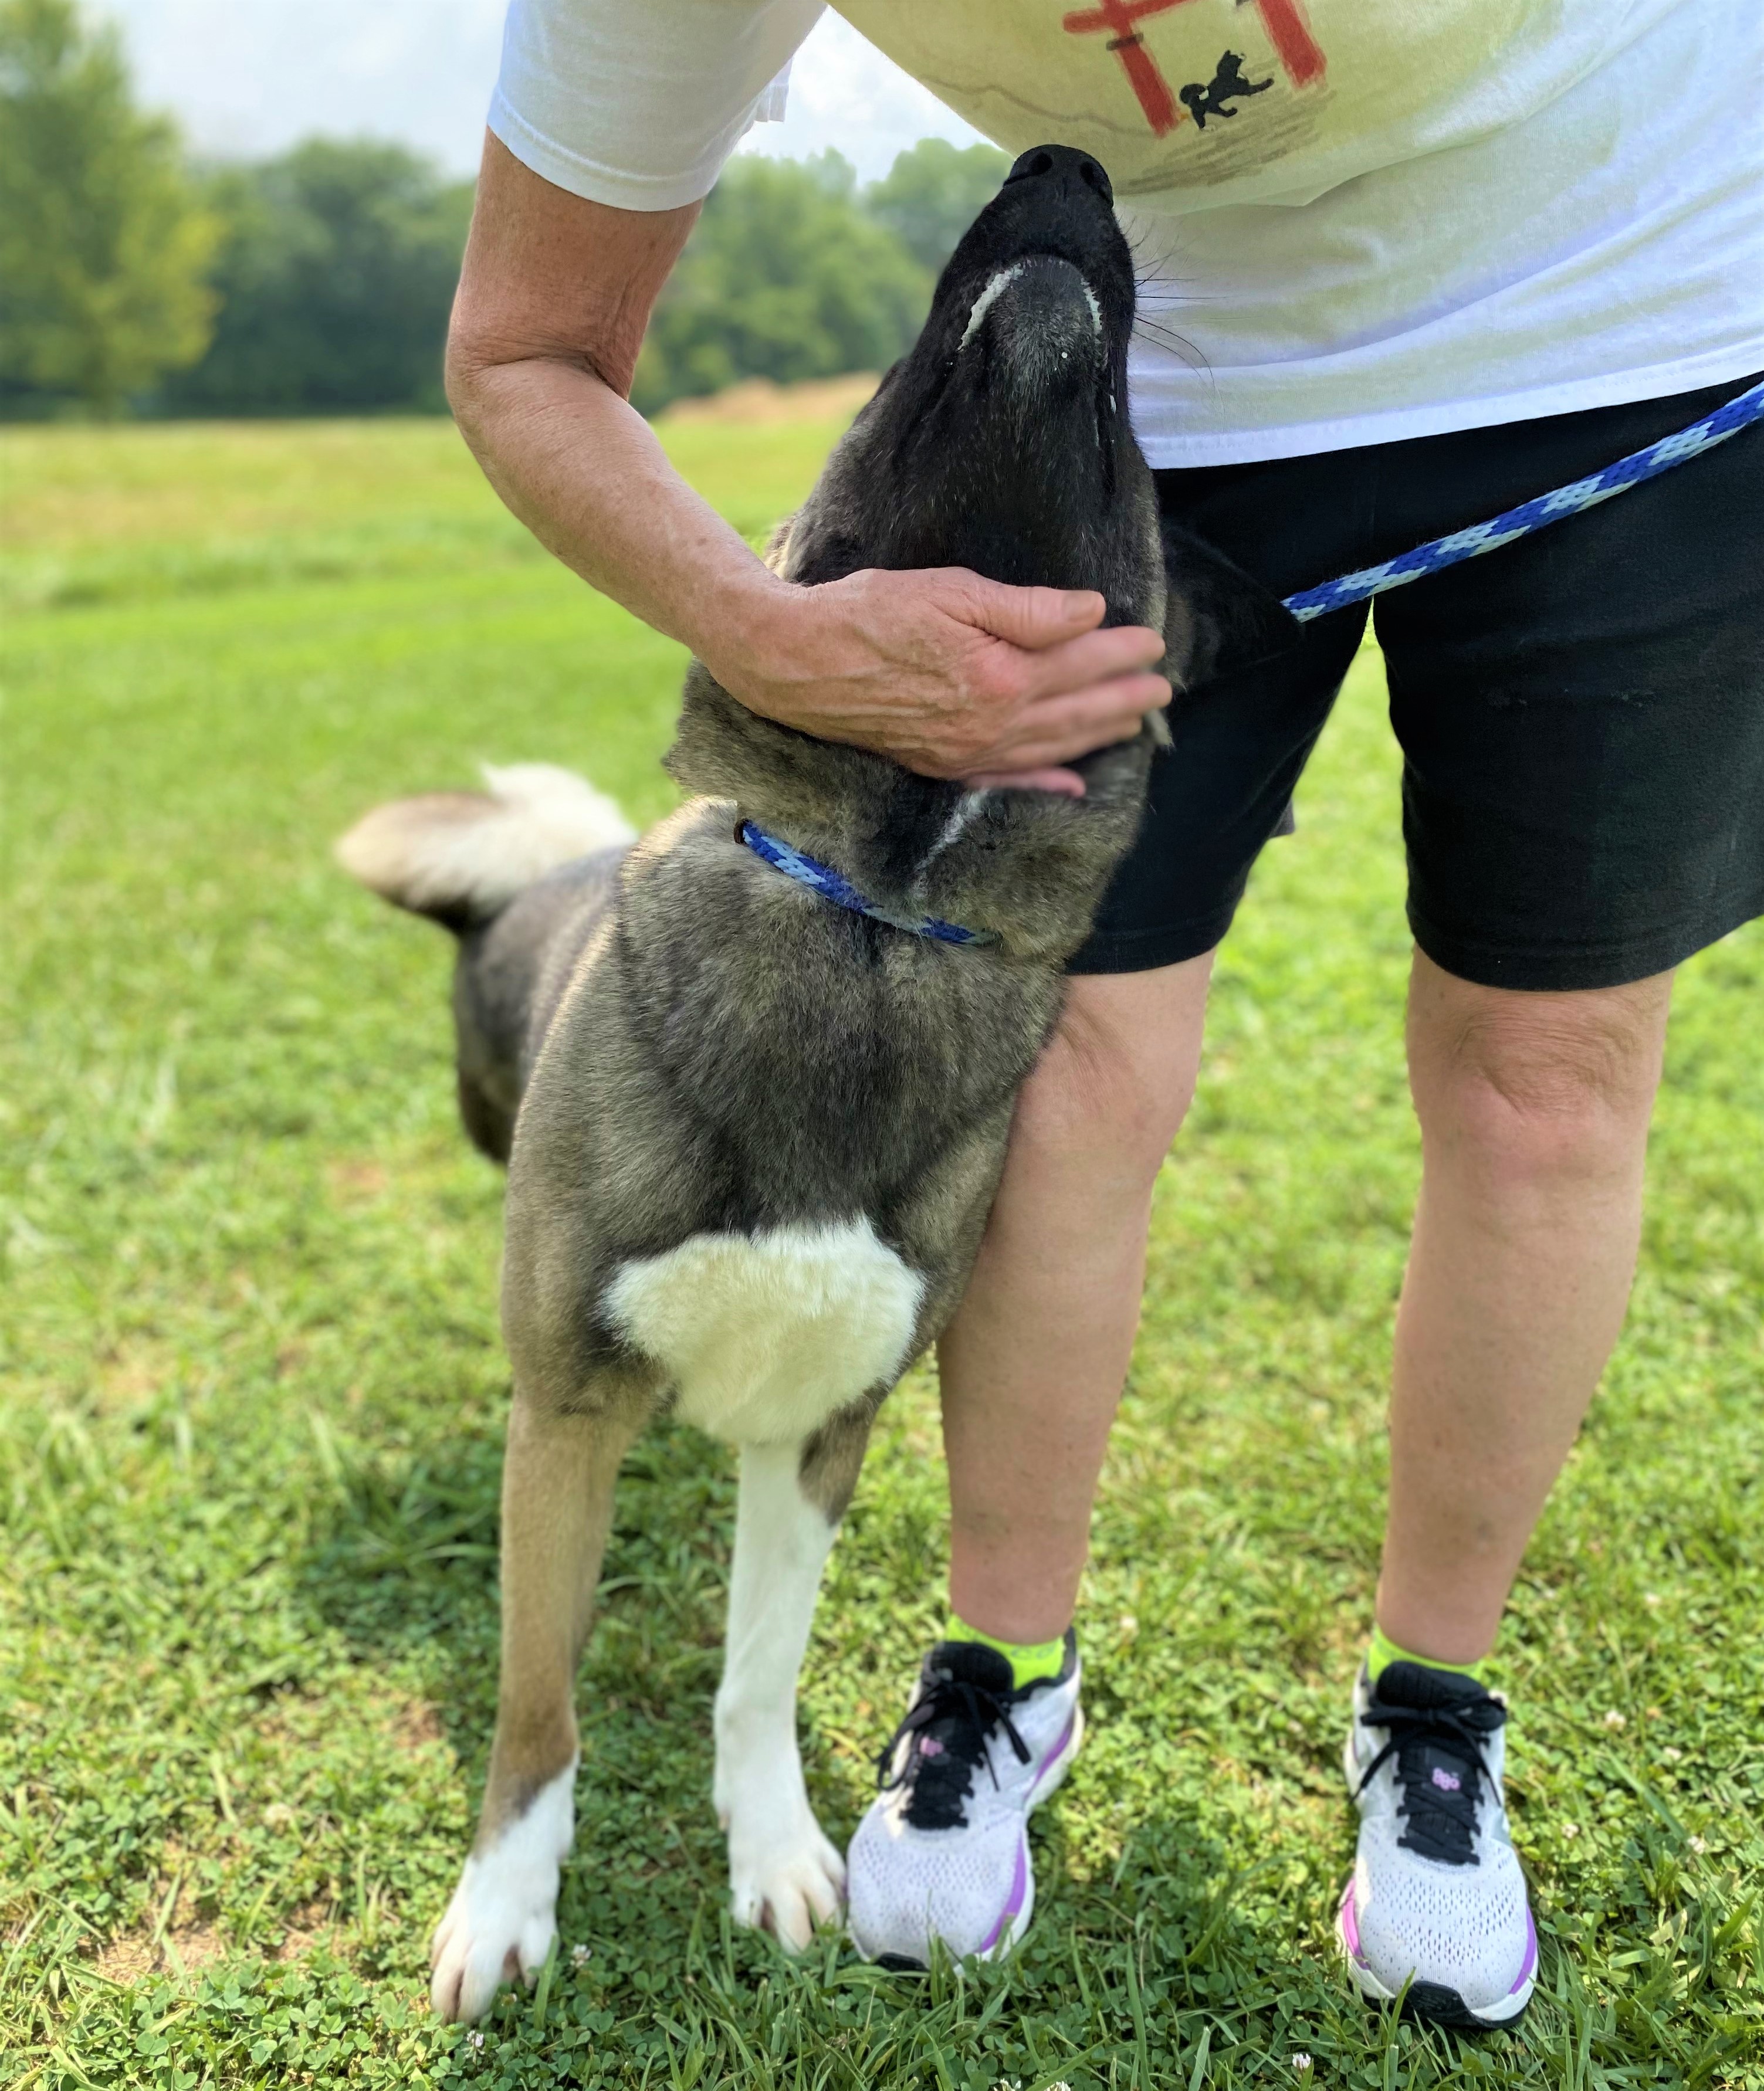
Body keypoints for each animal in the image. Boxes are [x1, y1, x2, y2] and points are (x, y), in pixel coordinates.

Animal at [338, 139, 1289, 2015]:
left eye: (1139, 449)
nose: (1059, 171)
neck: (874, 900)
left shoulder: (818, 1428)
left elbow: (755, 1675)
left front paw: (775, 1853)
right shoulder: (568, 1414)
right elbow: (536, 1705)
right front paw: (504, 1904)